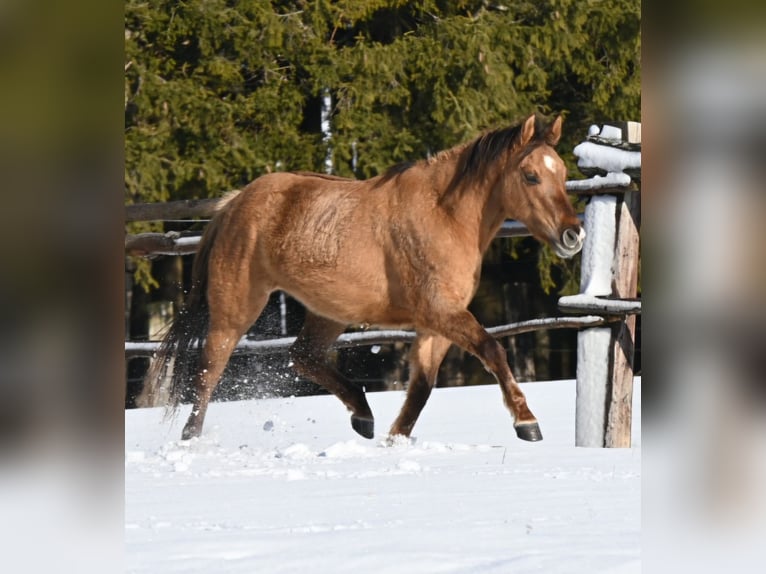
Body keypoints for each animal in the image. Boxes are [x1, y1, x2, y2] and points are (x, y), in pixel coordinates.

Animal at [146, 114, 585, 442]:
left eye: (562, 172)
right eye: (530, 175)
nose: (573, 236)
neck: (445, 215)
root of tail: (233, 203)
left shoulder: (436, 324)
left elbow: (422, 386)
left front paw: (395, 439)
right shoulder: (442, 312)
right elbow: (492, 350)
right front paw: (526, 421)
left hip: (329, 311)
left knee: (302, 356)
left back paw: (362, 414)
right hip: (236, 308)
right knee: (209, 371)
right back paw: (190, 439)